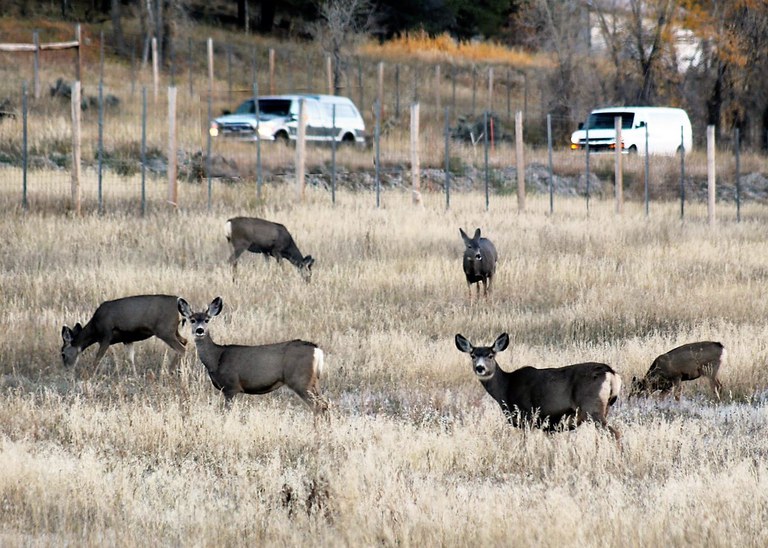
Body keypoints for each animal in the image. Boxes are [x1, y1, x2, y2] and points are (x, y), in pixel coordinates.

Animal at [176, 298, 328, 414]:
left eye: (207, 320)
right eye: (192, 320)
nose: (199, 330)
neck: (216, 358)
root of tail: (316, 350)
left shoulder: (231, 386)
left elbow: (226, 412)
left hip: (300, 380)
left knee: (318, 406)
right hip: (314, 381)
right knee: (325, 405)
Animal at [456, 332, 624, 444]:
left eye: (491, 355)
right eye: (472, 355)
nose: (480, 368)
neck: (506, 388)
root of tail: (611, 372)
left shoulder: (527, 416)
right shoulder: (548, 427)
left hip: (592, 407)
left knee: (615, 433)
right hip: (604, 408)